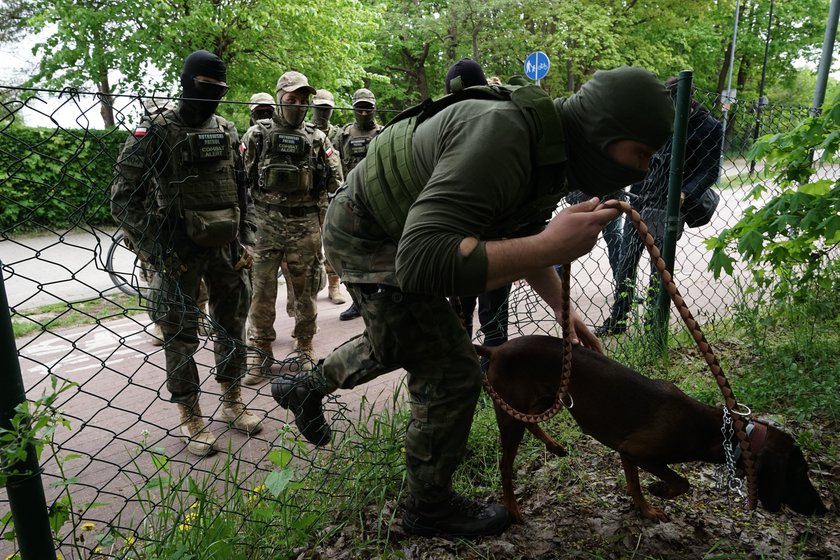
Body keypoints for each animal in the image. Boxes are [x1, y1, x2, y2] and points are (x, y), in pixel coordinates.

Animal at [476, 334, 832, 524]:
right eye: (799, 473)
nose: (824, 509)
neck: (724, 433)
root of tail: (494, 349)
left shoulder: (627, 453)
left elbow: (635, 486)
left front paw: (645, 509)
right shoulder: (638, 451)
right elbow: (681, 481)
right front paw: (658, 493)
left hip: (540, 402)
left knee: (532, 427)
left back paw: (555, 446)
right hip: (510, 416)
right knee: (505, 466)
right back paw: (513, 509)